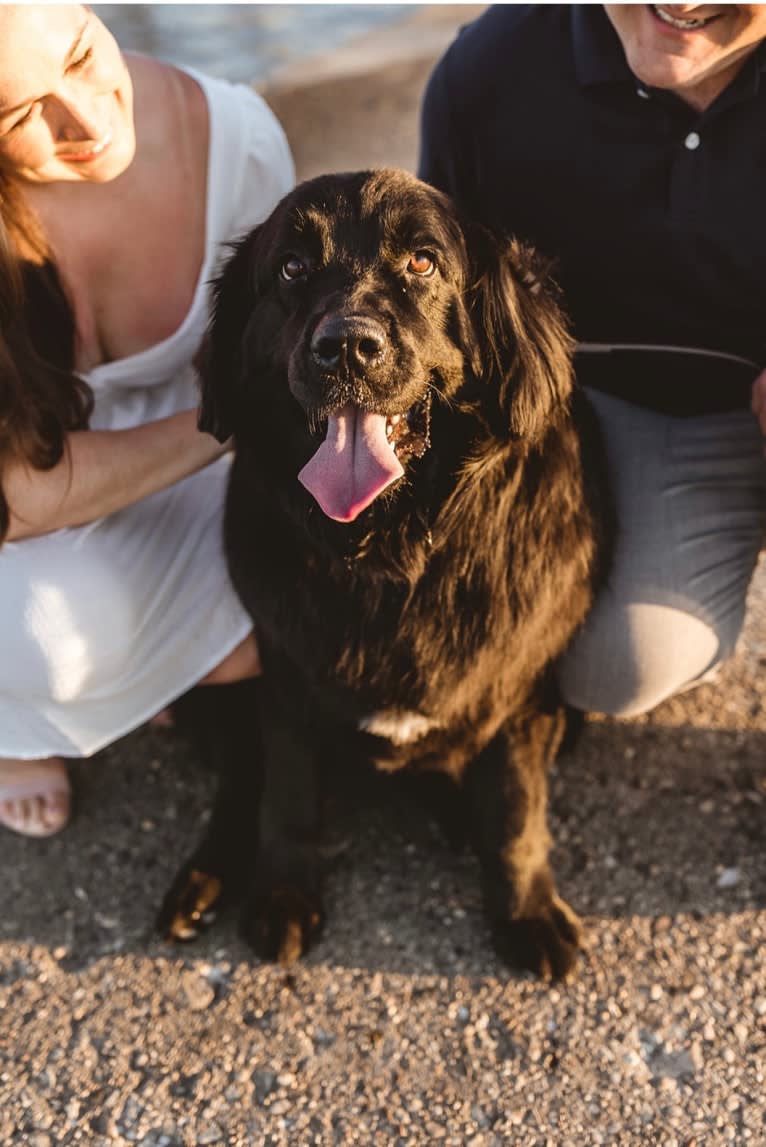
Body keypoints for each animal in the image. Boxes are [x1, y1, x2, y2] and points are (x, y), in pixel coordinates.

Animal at [162, 167, 610, 977]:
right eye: (291, 267)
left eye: (423, 263)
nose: (346, 347)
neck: (392, 555)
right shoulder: (285, 673)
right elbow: (288, 791)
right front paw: (284, 893)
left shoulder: (526, 691)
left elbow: (518, 811)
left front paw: (527, 910)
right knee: (241, 780)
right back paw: (204, 880)